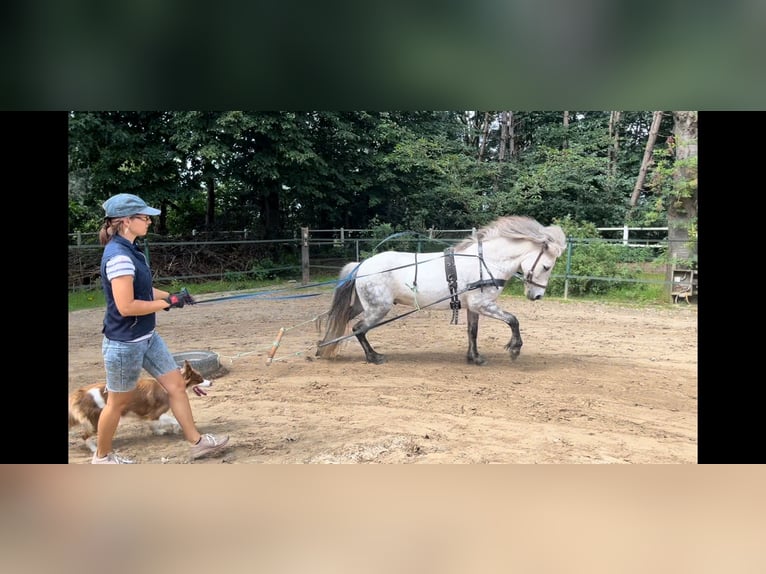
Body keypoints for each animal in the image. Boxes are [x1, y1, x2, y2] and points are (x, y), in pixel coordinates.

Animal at [316, 215, 567, 365]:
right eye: (547, 266)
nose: (537, 296)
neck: (486, 262)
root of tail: (361, 265)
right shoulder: (483, 304)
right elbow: (513, 320)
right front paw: (514, 349)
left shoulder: (472, 306)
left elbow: (472, 332)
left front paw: (474, 357)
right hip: (378, 308)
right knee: (359, 328)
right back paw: (373, 357)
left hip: (364, 305)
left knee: (344, 322)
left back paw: (323, 346)